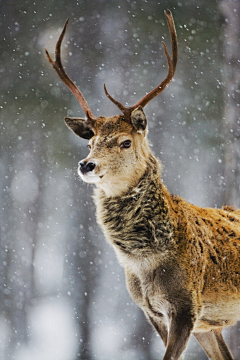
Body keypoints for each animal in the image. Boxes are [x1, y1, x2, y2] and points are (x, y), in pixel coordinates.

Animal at [45, 10, 240, 360]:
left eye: (125, 142)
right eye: (89, 143)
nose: (86, 165)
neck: (144, 263)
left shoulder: (187, 306)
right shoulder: (154, 311)